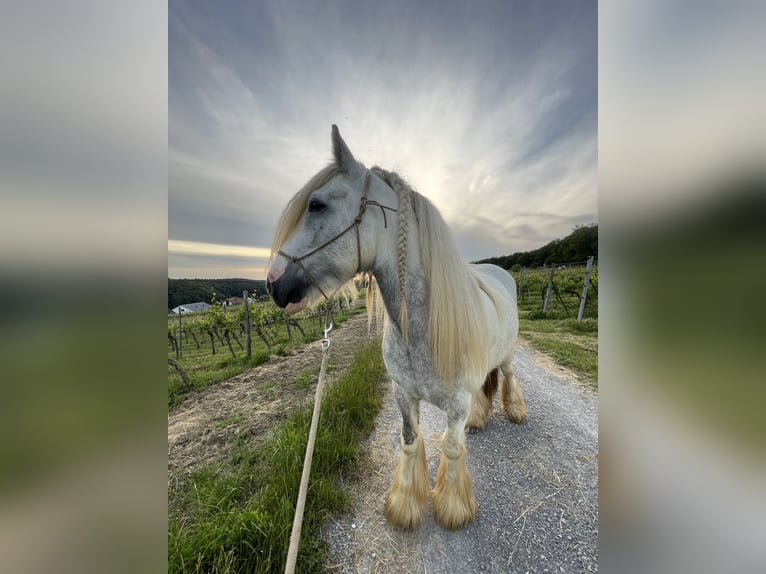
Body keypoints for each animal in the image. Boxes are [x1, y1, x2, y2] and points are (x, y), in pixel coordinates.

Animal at [266, 125, 528, 532]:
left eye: (317, 205)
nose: (274, 284)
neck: (419, 331)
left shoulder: (456, 403)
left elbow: (451, 447)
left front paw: (452, 509)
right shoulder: (403, 393)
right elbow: (409, 440)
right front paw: (406, 505)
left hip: (510, 356)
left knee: (509, 377)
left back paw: (514, 411)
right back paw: (479, 419)